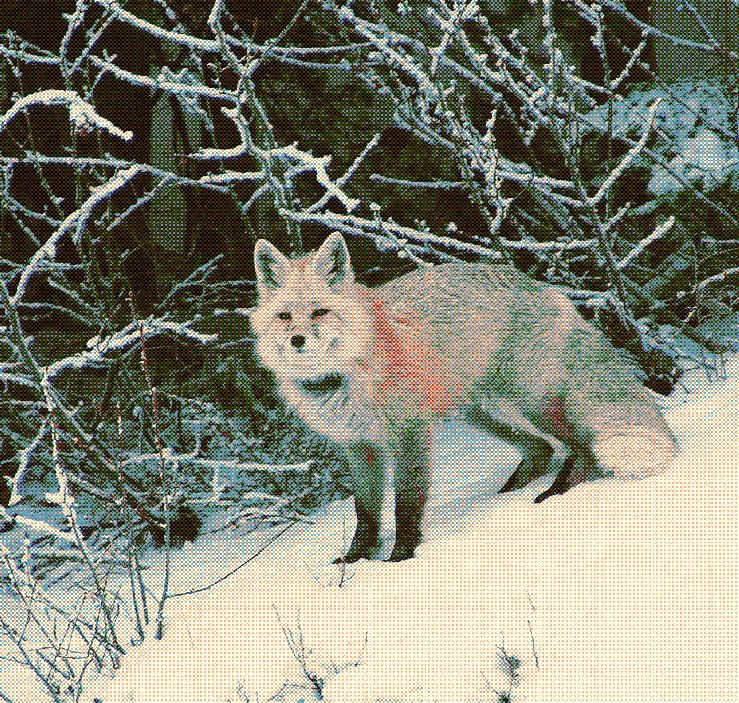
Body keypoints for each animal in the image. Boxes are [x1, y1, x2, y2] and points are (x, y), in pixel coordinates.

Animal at [251, 233, 679, 562]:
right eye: (284, 316)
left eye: (320, 312)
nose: (297, 340)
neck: (344, 375)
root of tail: (541, 286)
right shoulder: (359, 445)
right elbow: (366, 514)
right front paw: (355, 560)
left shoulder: (408, 432)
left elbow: (406, 504)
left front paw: (400, 559)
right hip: (480, 412)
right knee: (540, 449)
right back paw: (507, 493)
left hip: (533, 399)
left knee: (582, 445)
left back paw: (557, 492)